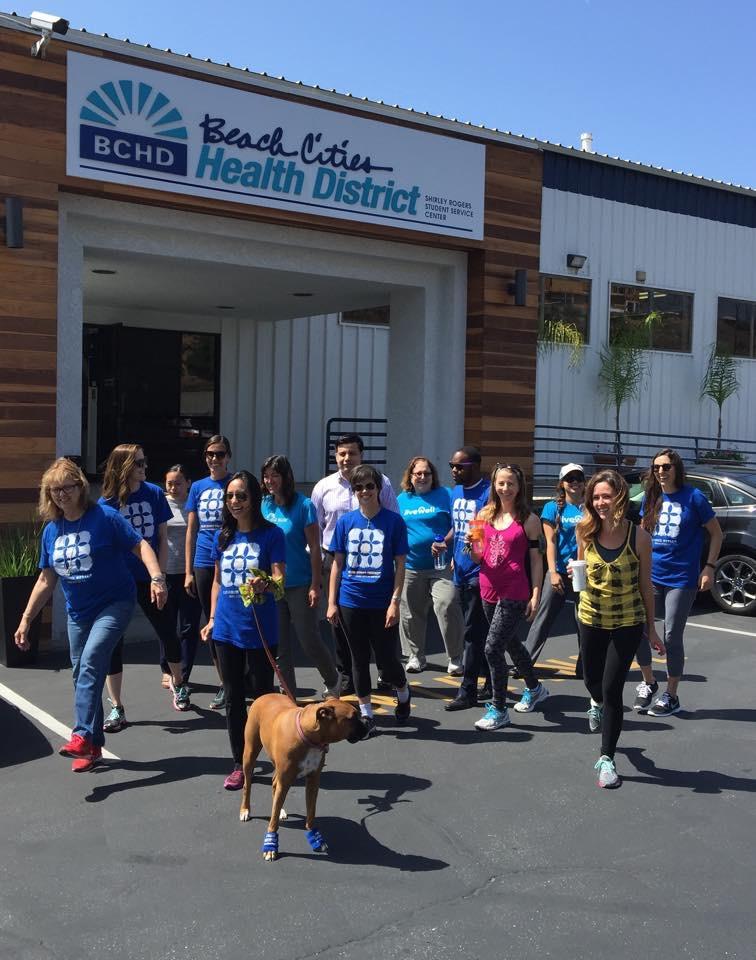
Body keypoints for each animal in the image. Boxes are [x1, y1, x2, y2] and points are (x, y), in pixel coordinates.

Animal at [236, 692, 366, 860]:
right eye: (352, 718)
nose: (368, 725)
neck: (309, 737)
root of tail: (264, 695)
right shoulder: (286, 780)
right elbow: (273, 821)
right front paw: (271, 845)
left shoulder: (313, 781)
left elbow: (311, 812)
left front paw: (314, 836)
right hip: (250, 754)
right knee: (248, 785)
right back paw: (245, 810)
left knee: (274, 785)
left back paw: (280, 810)